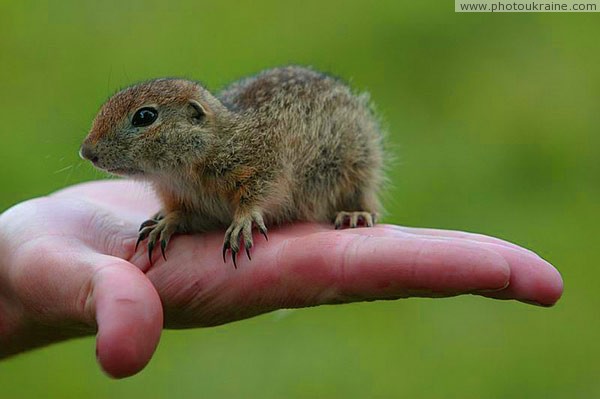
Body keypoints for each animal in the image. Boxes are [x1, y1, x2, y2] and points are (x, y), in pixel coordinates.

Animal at [81, 65, 384, 268]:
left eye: (144, 116)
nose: (86, 151)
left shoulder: (264, 163)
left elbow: (261, 194)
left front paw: (243, 221)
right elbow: (185, 214)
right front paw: (166, 222)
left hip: (357, 161)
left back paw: (355, 213)